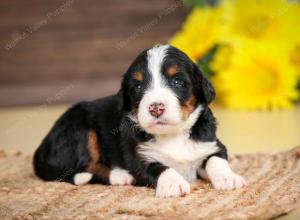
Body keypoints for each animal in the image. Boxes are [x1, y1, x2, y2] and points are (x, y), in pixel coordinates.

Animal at [32, 44, 245, 198]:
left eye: (177, 81)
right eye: (138, 86)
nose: (156, 108)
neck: (172, 134)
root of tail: (41, 148)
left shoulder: (211, 145)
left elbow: (216, 160)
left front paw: (228, 178)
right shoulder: (138, 159)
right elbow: (160, 167)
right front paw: (173, 183)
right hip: (80, 128)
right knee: (84, 165)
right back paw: (120, 176)